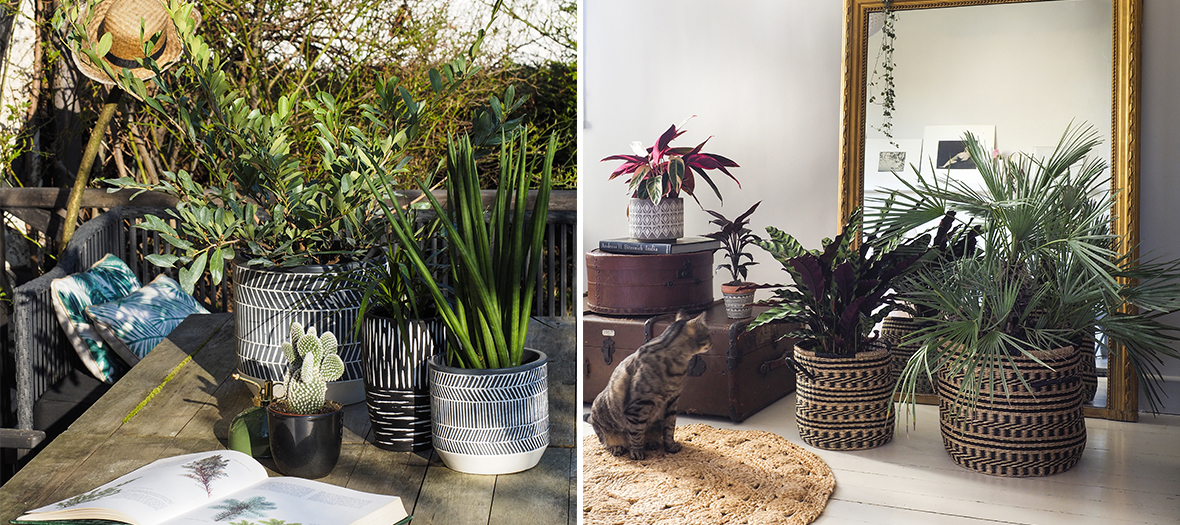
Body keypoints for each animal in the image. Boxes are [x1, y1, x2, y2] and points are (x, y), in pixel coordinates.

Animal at [590, 311, 707, 457]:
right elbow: (637, 432)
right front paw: (637, 451)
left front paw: (670, 446)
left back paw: (652, 443)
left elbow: (670, 428)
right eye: (708, 333)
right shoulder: (639, 406)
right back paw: (617, 447)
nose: (712, 342)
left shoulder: (672, 402)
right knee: (607, 440)